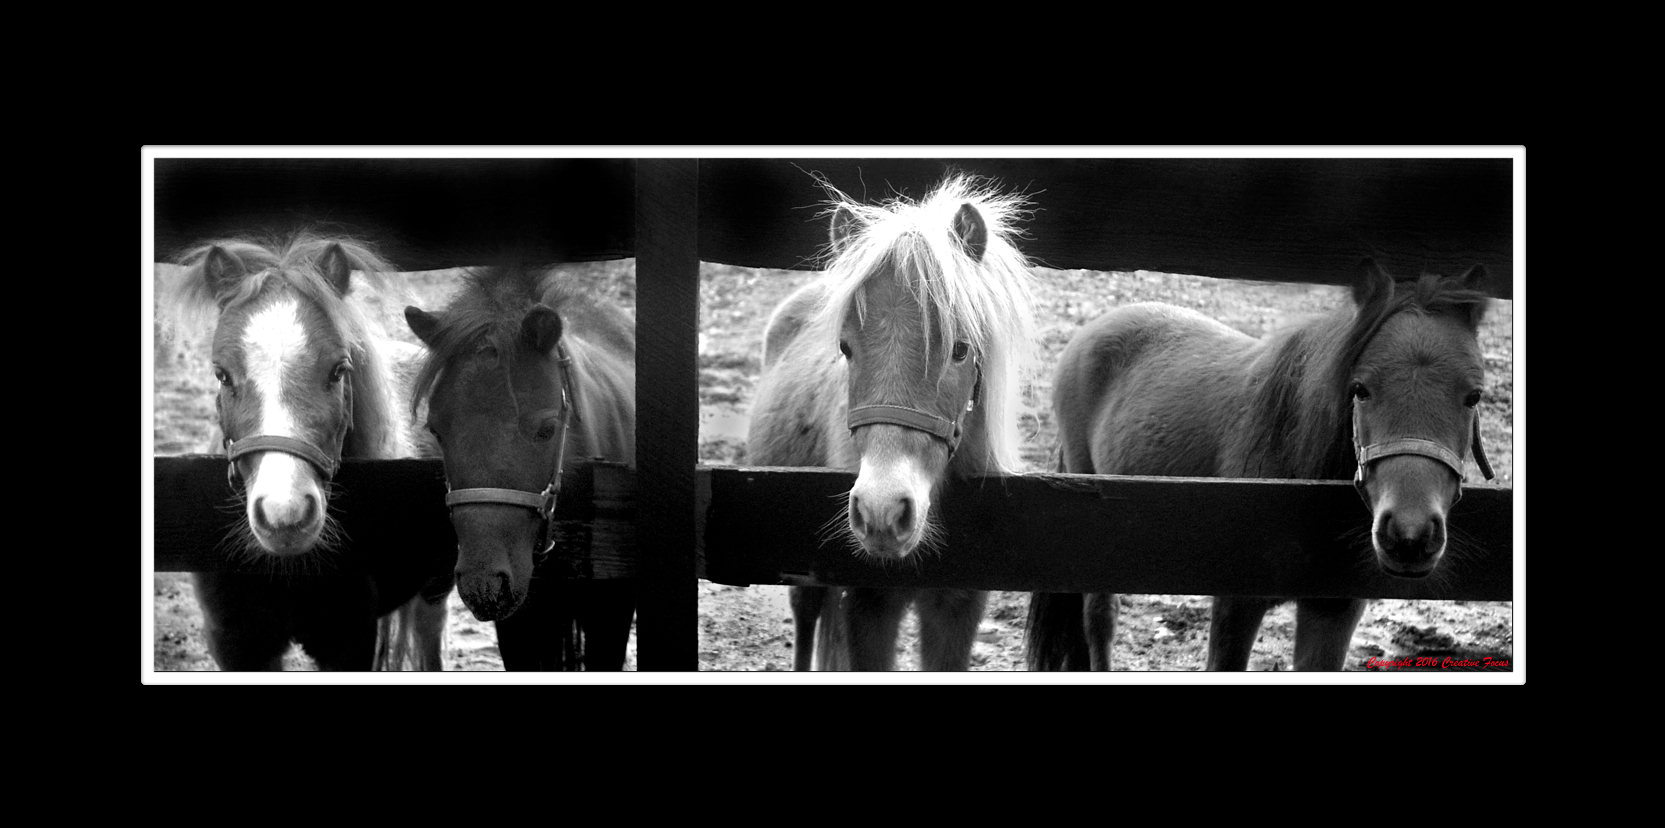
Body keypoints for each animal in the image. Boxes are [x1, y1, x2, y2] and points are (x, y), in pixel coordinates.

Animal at [749, 175, 1032, 673]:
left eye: (960, 349)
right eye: (845, 348)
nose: (882, 511)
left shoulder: (958, 607)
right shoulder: (868, 604)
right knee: (806, 620)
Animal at [1025, 261, 1498, 669]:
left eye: (1473, 395)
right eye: (1359, 389)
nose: (1409, 536)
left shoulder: (1333, 608)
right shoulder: (1236, 603)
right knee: (1099, 620)